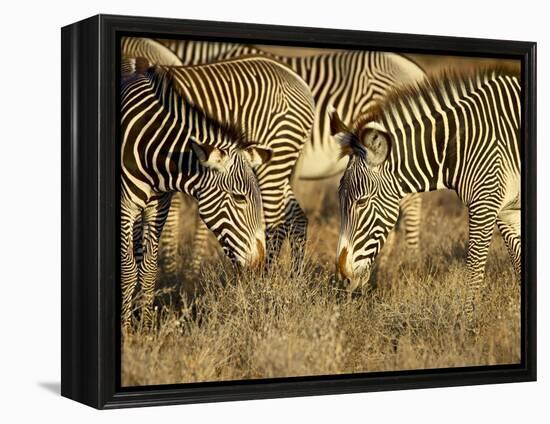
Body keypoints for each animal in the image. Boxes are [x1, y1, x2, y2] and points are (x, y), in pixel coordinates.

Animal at [122, 58, 274, 326]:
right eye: (239, 198)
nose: (259, 263)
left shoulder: (158, 207)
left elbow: (148, 268)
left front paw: (146, 326)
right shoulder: (124, 206)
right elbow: (128, 269)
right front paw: (126, 327)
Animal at [332, 67, 520, 324]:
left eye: (361, 202)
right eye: (340, 200)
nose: (343, 278)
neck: (461, 144)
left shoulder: (485, 203)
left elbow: (474, 266)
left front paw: (466, 325)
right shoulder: (506, 210)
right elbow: (518, 261)